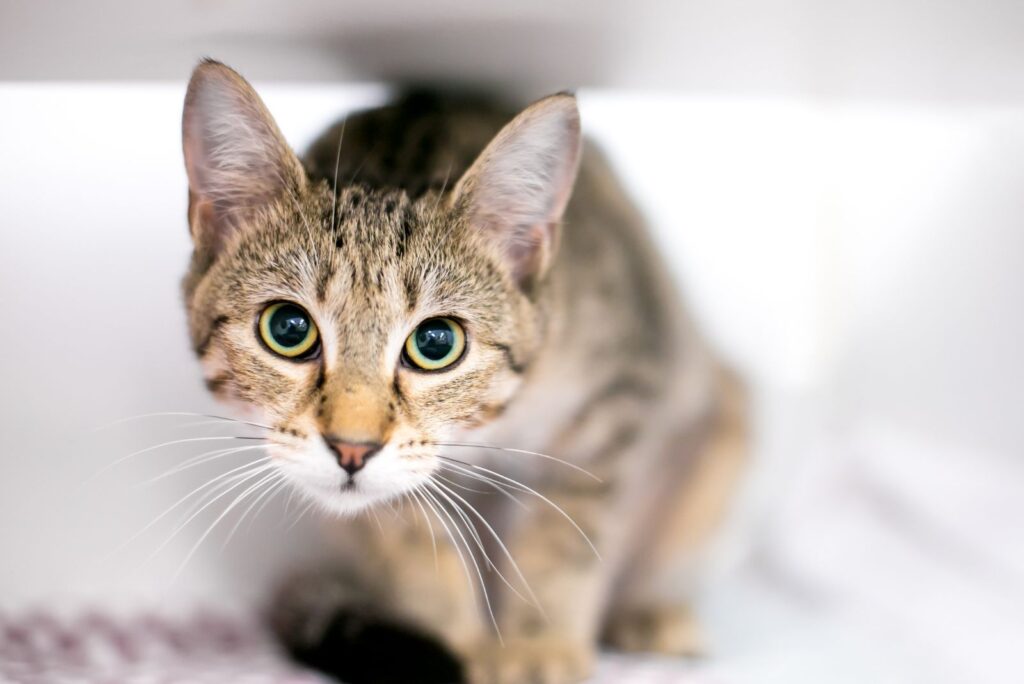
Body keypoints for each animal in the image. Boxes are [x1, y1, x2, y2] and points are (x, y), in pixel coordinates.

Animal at [180, 60, 749, 684]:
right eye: (287, 329)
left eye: (436, 342)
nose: (352, 449)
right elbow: (414, 541)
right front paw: (463, 644)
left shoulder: (618, 396)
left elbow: (564, 535)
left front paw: (539, 645)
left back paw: (646, 612)